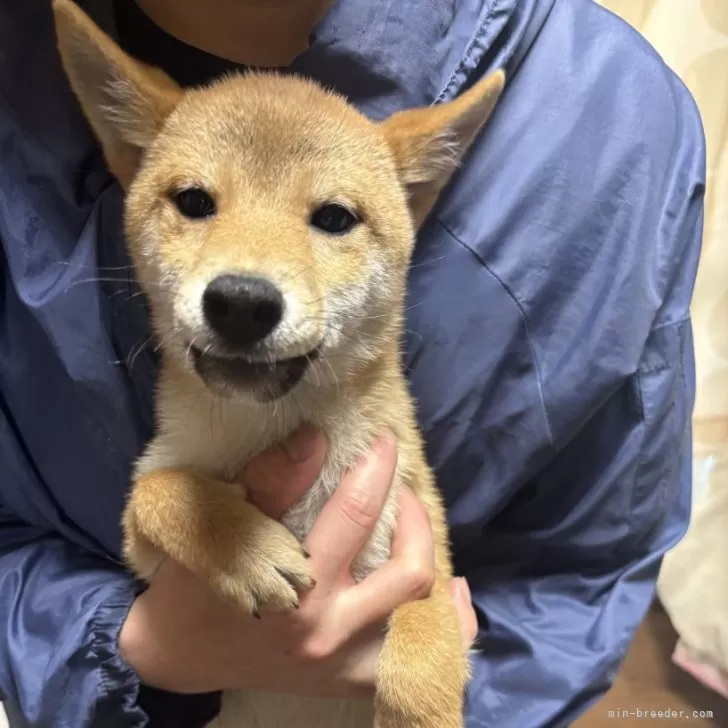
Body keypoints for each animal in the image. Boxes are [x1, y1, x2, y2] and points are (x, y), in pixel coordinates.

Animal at [54, 2, 504, 724]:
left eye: (335, 217)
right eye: (194, 202)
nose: (240, 302)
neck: (272, 427)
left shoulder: (428, 550)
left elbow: (424, 647)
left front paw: (420, 705)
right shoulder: (143, 551)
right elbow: (156, 492)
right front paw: (243, 546)